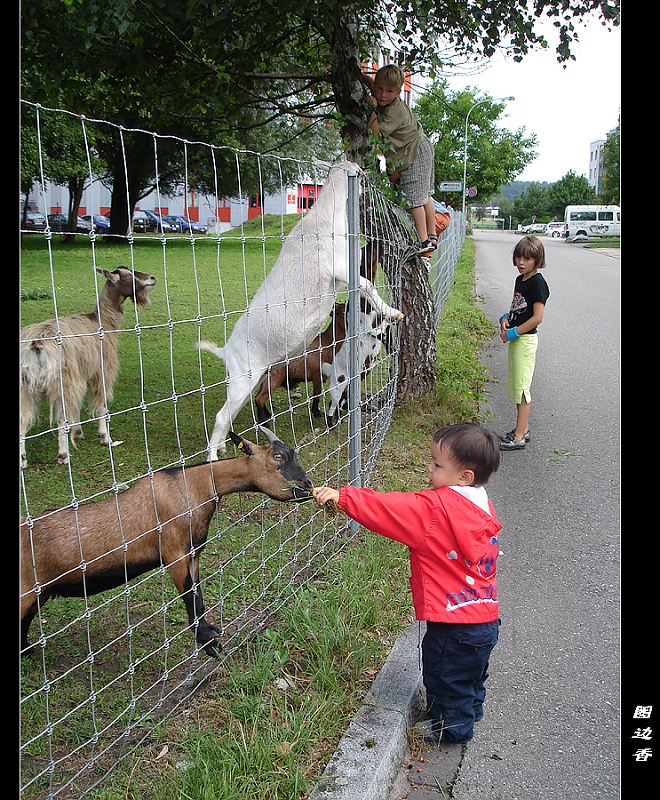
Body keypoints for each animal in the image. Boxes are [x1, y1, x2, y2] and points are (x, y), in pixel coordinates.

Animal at [18, 428, 312, 660]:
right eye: (278, 457)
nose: (308, 484)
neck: (194, 487)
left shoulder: (193, 553)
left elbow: (198, 596)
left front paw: (208, 635)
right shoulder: (174, 552)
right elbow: (189, 595)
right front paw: (207, 639)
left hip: (40, 592)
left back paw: (27, 651)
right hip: (26, 589)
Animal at [19, 268, 156, 468]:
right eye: (128, 275)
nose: (152, 278)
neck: (101, 322)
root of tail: (36, 345)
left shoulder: (82, 372)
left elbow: (78, 404)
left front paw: (78, 432)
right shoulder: (102, 369)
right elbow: (101, 403)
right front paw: (105, 437)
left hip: (25, 388)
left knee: (22, 420)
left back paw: (22, 461)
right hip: (62, 381)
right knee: (61, 418)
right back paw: (63, 455)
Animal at [197, 160, 402, 460]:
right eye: (359, 173)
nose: (372, 172)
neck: (325, 220)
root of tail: (226, 351)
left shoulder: (341, 279)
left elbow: (363, 291)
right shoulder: (340, 268)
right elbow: (367, 286)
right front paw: (393, 312)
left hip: (246, 378)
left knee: (230, 413)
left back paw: (222, 446)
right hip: (244, 375)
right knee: (222, 415)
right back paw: (212, 457)